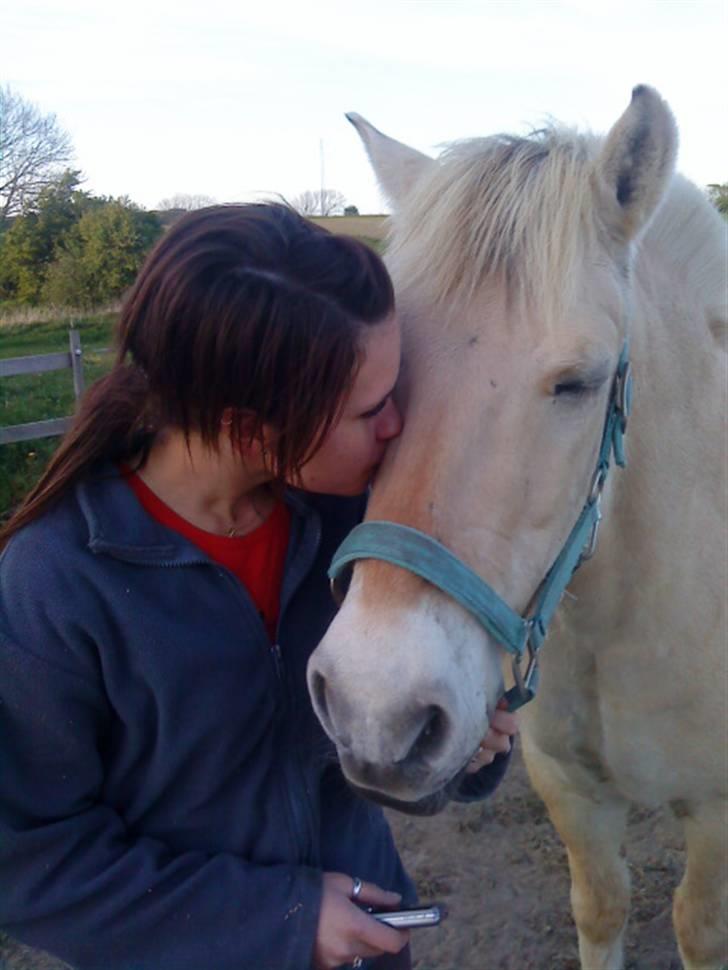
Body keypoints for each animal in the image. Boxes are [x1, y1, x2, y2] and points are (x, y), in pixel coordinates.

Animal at [307, 86, 727, 970]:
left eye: (579, 383)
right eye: (384, 378)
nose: (374, 710)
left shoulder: (716, 811)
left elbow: (699, 928)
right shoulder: (570, 791)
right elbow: (601, 907)